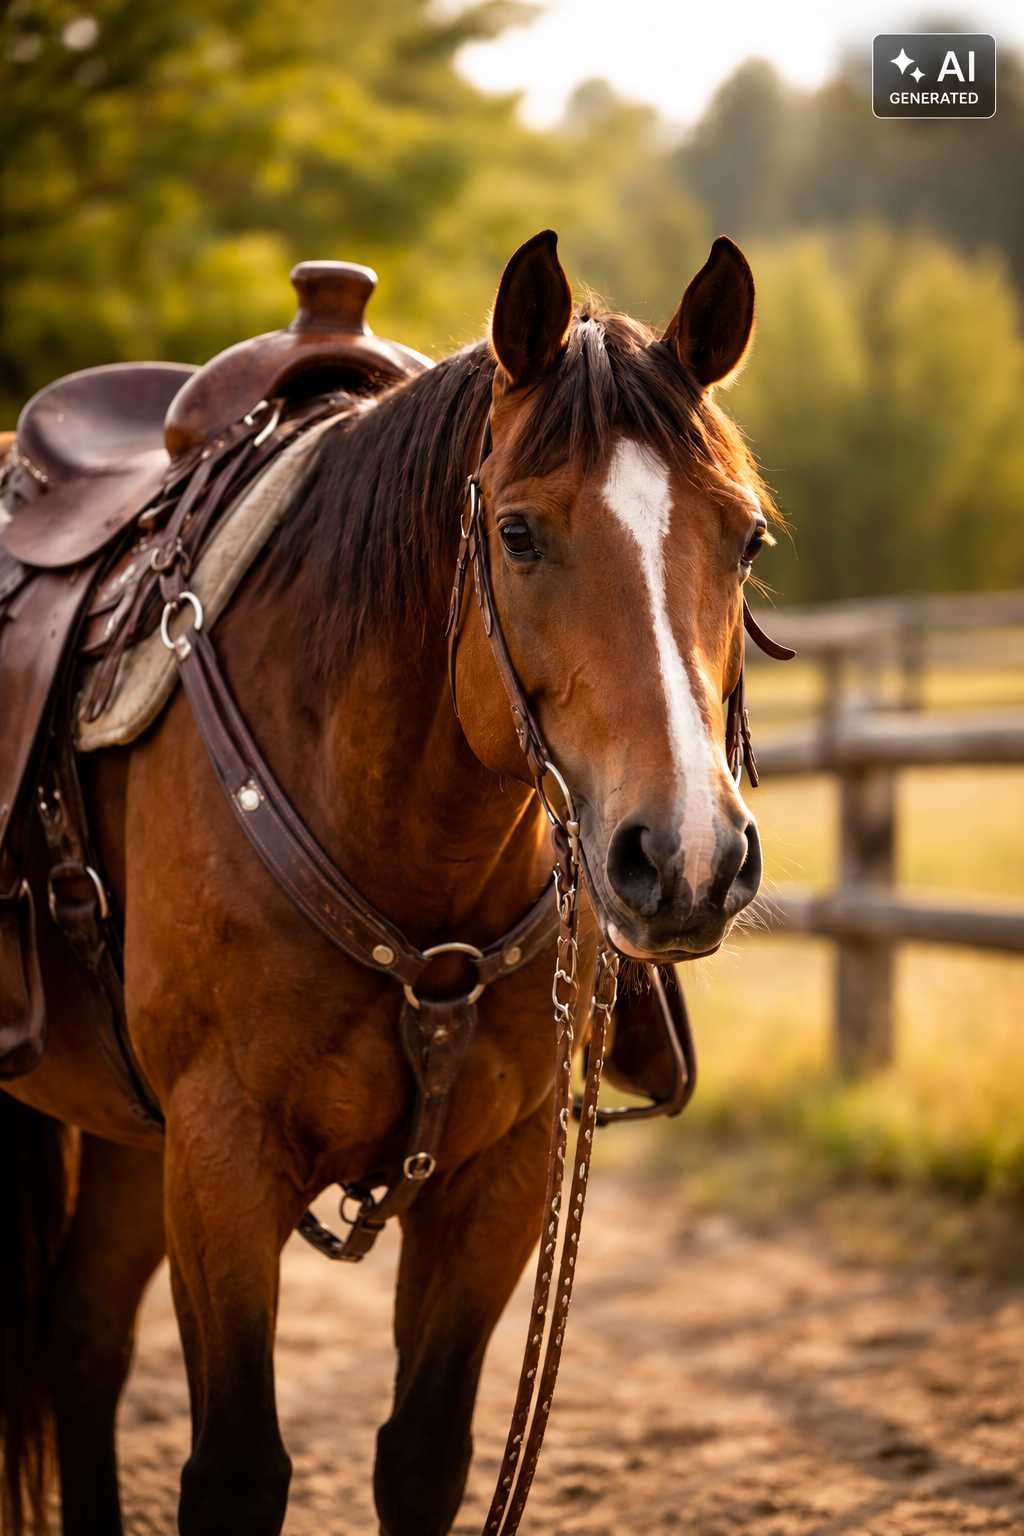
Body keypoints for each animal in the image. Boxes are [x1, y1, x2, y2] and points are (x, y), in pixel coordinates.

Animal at [0, 229, 777, 1536]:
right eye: (518, 533)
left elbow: (422, 1458)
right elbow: (236, 1471)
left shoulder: (498, 1174)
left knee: (81, 1341)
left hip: (127, 1138)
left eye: (748, 537)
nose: (686, 858)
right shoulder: (223, 1154)